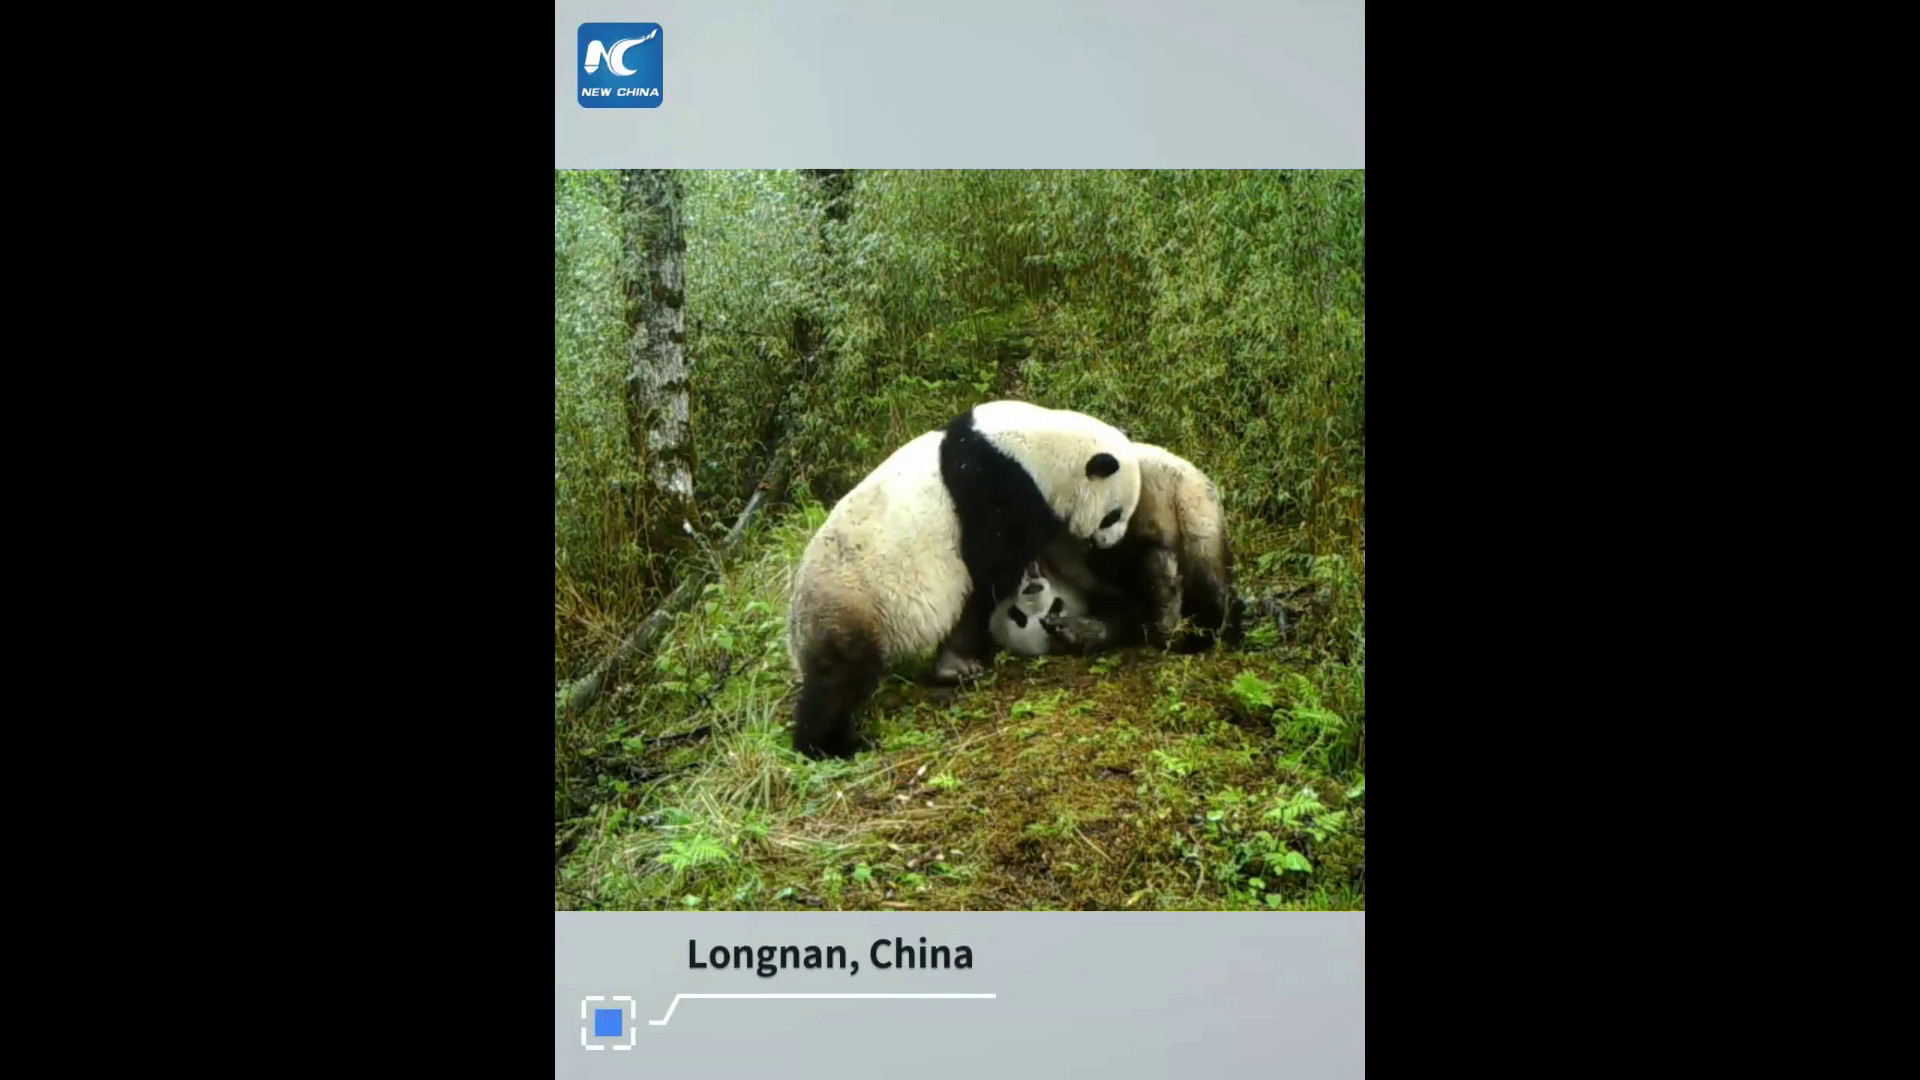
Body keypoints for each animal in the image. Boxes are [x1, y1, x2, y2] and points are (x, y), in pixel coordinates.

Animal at [785, 400, 1142, 759]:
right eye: (1113, 515)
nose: (1109, 543)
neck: (1041, 450)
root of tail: (796, 632)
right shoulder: (997, 489)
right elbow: (995, 564)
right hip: (853, 600)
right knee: (839, 680)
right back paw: (830, 745)